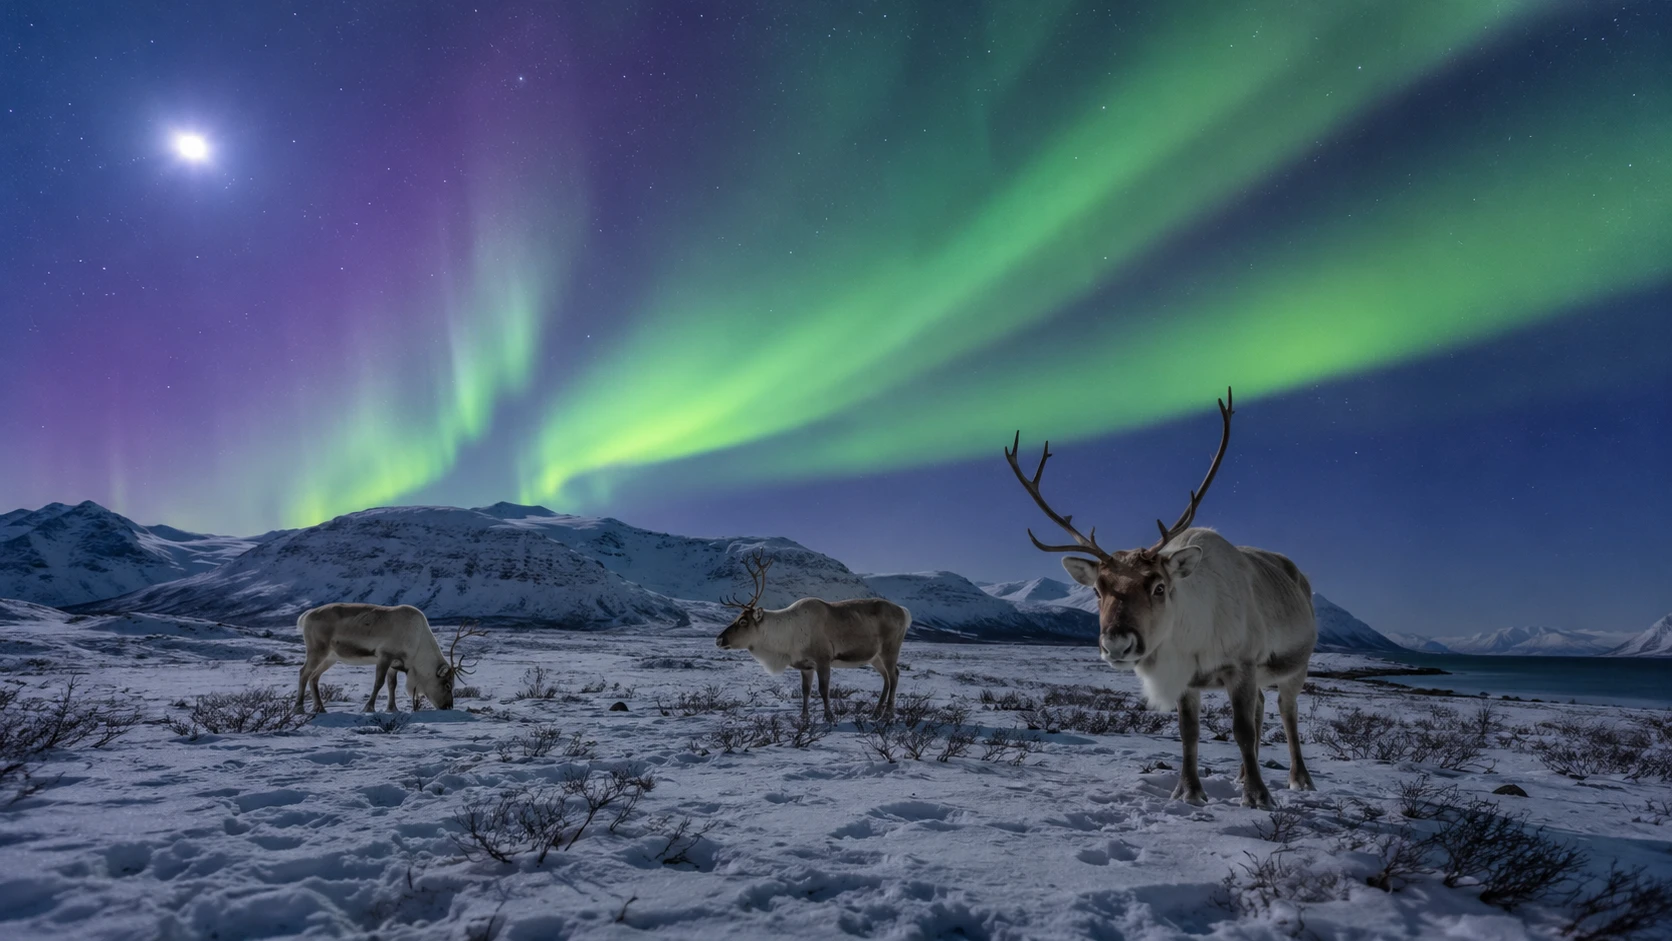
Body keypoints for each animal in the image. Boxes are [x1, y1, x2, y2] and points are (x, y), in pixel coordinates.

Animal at [294, 603, 484, 714]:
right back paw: (299, 708)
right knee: (303, 673)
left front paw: (393, 708)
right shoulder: (384, 656)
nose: (448, 707)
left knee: (314, 677)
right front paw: (369, 708)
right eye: (447, 685)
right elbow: (378, 683)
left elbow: (392, 685)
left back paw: (320, 708)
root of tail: (306, 616)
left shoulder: (395, 663)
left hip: (331, 657)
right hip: (317, 650)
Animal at [715, 551, 910, 722]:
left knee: (894, 675)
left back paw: (888, 714)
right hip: (874, 657)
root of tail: (904, 612)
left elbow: (824, 690)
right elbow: (805, 691)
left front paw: (829, 717)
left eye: (742, 621)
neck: (785, 638)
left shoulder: (823, 659)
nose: (718, 639)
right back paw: (876, 713)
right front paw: (804, 717)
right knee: (886, 678)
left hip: (890, 649)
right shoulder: (805, 665)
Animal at [1005, 388, 1316, 810]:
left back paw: (1299, 779)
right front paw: (1189, 791)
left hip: (1295, 666)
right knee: (1262, 708)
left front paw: (1257, 796)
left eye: (1158, 587)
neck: (1192, 637)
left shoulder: (1242, 664)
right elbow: (1189, 732)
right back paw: (1240, 774)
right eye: (1097, 589)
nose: (1117, 644)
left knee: (1286, 711)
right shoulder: (1188, 678)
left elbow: (1241, 730)